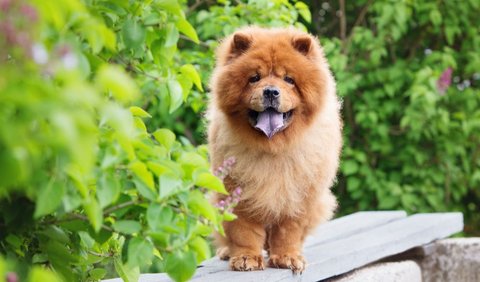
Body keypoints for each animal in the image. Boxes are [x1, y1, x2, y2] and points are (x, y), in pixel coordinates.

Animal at [207, 26, 342, 274]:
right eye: (254, 78)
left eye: (289, 79)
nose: (270, 91)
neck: (273, 149)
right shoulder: (238, 193)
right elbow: (243, 232)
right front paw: (246, 258)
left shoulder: (298, 196)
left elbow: (288, 232)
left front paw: (287, 258)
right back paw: (227, 252)